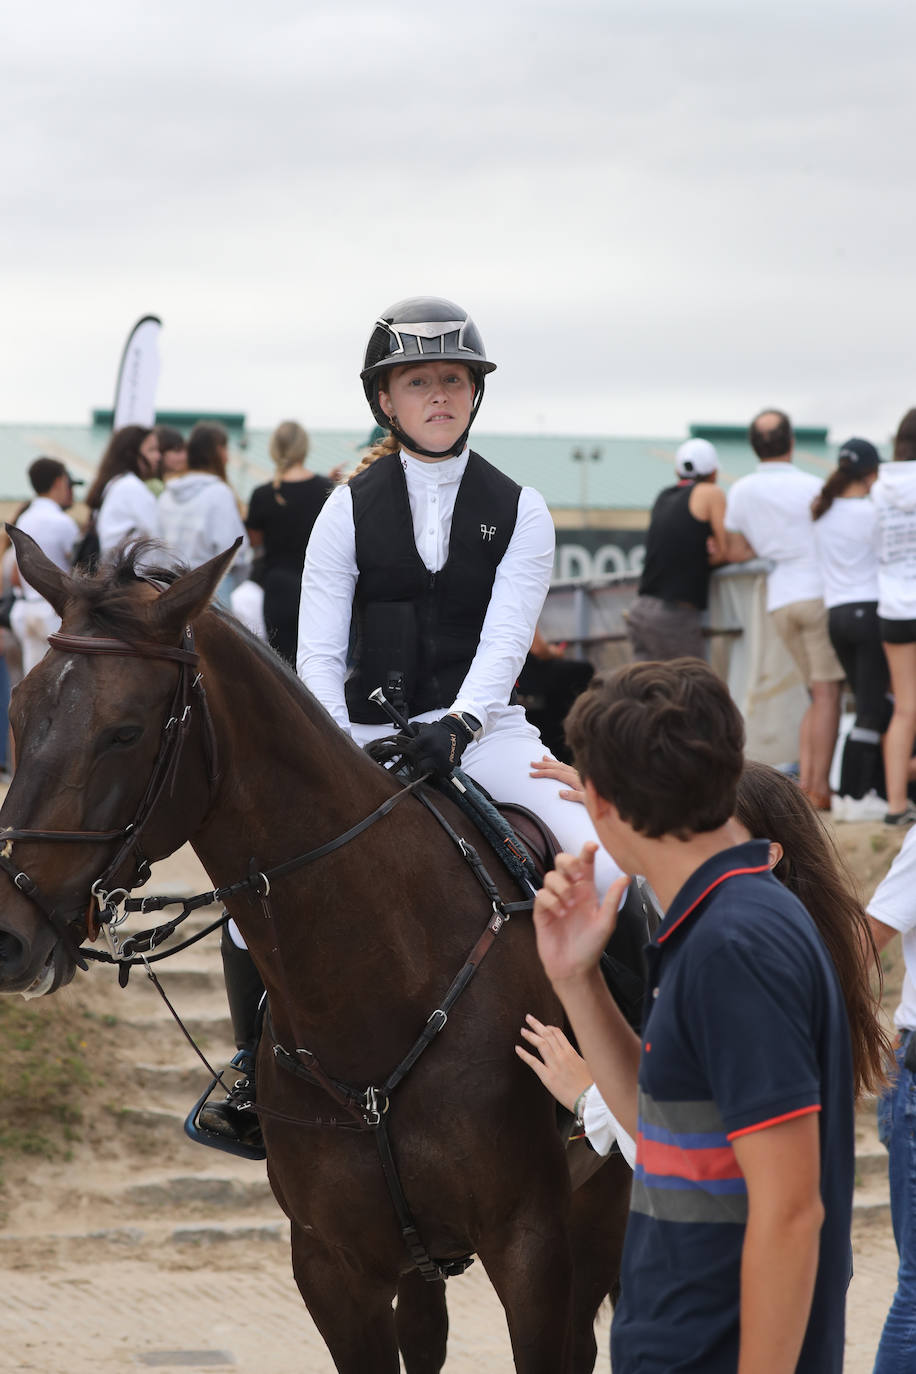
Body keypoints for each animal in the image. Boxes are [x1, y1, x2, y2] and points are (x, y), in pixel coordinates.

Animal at [0, 533, 631, 1374]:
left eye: (125, 732)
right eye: (18, 711)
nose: (8, 934)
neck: (384, 980)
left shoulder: (532, 1249)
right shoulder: (334, 1270)